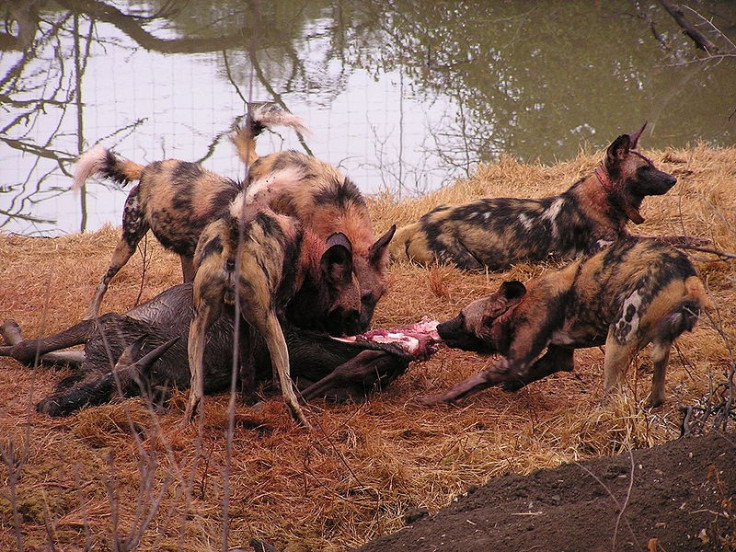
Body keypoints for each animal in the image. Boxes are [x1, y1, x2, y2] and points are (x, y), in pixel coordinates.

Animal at [184, 179, 362, 430]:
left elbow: (247, 364)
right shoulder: (280, 314)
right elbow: (277, 374)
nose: (360, 333)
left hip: (198, 326)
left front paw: (249, 399)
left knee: (195, 392)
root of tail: (232, 237)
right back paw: (305, 424)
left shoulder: (240, 321)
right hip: (270, 323)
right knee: (289, 392)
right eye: (351, 314)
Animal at [388, 125, 700, 272]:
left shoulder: (626, 237)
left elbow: (670, 238)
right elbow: (659, 245)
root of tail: (417, 225)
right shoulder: (604, 249)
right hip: (469, 263)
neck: (603, 200)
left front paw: (698, 242)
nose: (673, 180)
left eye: (653, 164)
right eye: (644, 170)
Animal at [422, 239, 712, 408]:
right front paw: (511, 386)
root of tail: (687, 275)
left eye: (461, 318)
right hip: (659, 344)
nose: (438, 327)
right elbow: (529, 373)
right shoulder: (558, 357)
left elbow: (474, 381)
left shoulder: (515, 360)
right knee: (658, 387)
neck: (519, 309)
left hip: (618, 338)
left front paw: (434, 399)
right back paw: (651, 404)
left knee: (613, 395)